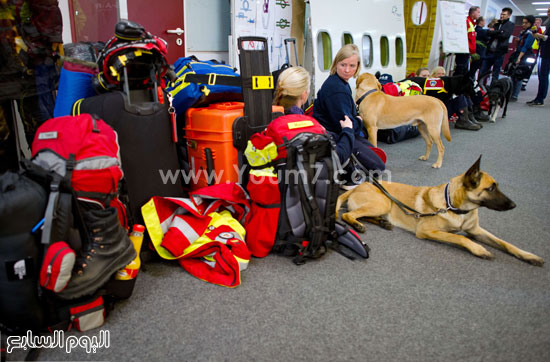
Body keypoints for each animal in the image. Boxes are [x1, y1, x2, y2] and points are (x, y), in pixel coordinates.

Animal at [338, 156, 544, 266]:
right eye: (491, 188)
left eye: (496, 186)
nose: (513, 205)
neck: (454, 206)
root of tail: (358, 186)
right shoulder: (426, 231)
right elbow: (460, 238)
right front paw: (479, 249)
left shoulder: (476, 231)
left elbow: (505, 243)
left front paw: (528, 255)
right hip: (382, 203)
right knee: (348, 214)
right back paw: (358, 224)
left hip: (383, 206)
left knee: (363, 215)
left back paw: (382, 222)